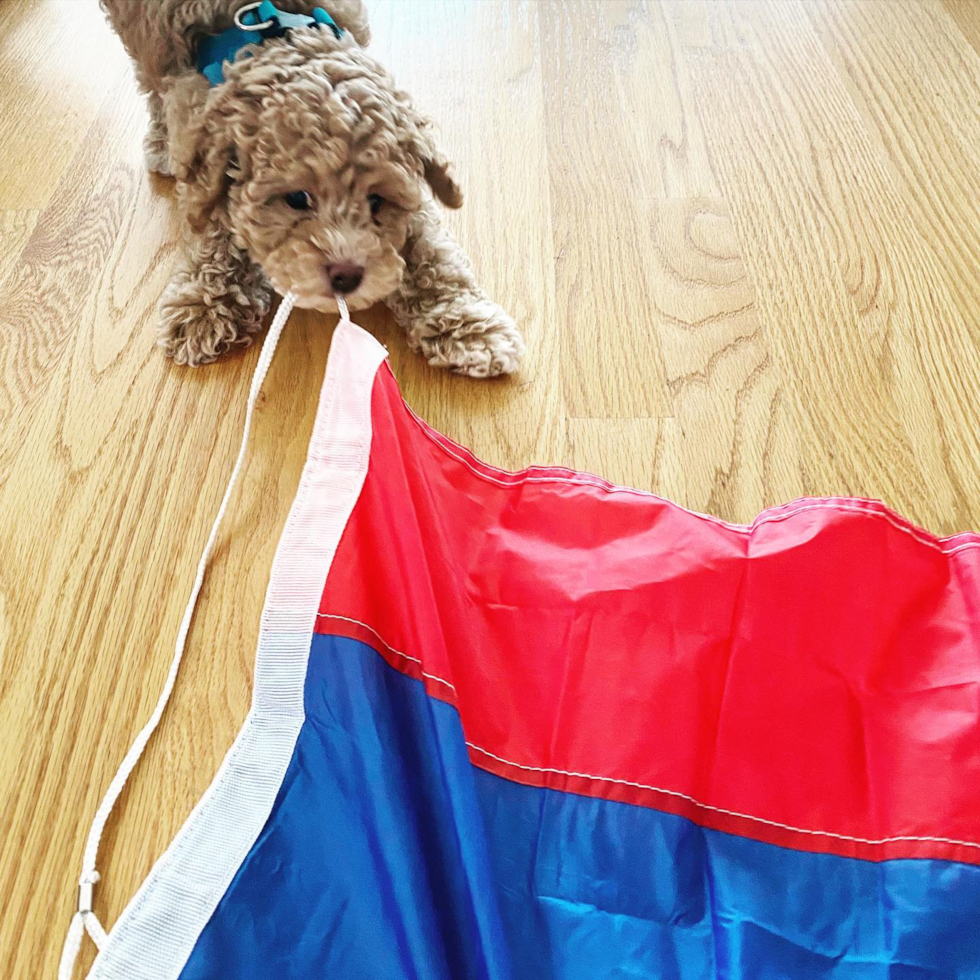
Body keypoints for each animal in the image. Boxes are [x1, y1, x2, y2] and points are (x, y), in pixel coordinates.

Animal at [99, 0, 524, 378]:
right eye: (296, 199)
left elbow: (432, 250)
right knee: (150, 83)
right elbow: (215, 218)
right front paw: (205, 303)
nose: (346, 275)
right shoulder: (195, 121)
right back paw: (160, 143)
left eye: (376, 201)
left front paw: (469, 327)